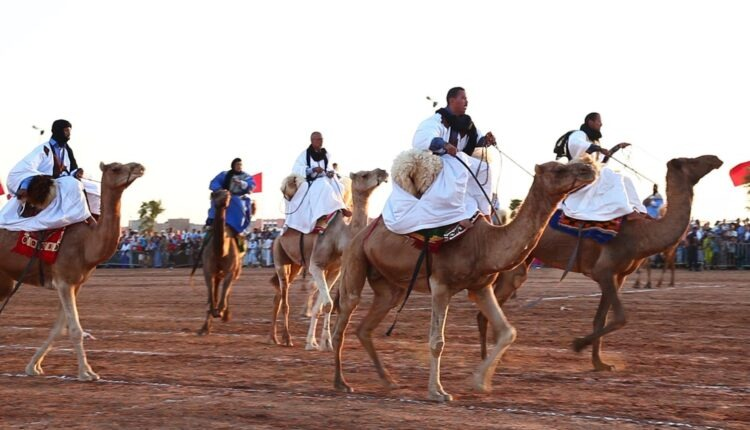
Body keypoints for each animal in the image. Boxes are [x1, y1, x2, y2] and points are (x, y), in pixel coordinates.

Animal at [0, 163, 145, 382]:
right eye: (115, 168)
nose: (139, 167)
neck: (87, 244)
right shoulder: (63, 282)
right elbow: (75, 329)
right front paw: (86, 373)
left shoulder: (75, 284)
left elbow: (59, 329)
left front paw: (33, 367)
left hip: (5, 279)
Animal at [195, 189, 245, 336]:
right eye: (216, 193)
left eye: (227, 193)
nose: (226, 196)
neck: (221, 251)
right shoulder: (208, 271)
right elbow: (211, 298)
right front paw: (205, 326)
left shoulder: (230, 271)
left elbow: (224, 294)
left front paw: (222, 312)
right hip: (217, 274)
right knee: (215, 292)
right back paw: (206, 326)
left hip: (235, 271)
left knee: (227, 291)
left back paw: (225, 314)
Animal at [268, 168, 388, 350]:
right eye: (364, 175)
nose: (384, 172)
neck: (340, 237)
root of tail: (278, 236)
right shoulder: (316, 266)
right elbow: (328, 304)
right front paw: (320, 343)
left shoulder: (334, 270)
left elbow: (322, 306)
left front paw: (320, 342)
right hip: (280, 259)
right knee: (285, 301)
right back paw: (287, 338)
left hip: (295, 265)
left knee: (278, 297)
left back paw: (273, 337)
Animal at [334, 156, 600, 402]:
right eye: (558, 169)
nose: (589, 168)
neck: (485, 243)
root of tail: (361, 234)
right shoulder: (441, 285)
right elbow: (437, 341)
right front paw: (438, 392)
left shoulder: (480, 287)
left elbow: (508, 332)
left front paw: (480, 381)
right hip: (354, 261)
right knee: (344, 318)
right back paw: (342, 383)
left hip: (390, 288)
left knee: (364, 327)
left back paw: (388, 380)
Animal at [478, 156, 724, 372]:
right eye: (691, 161)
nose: (715, 159)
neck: (642, 234)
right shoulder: (604, 270)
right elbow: (621, 317)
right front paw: (578, 345)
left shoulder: (618, 275)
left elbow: (601, 318)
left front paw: (600, 363)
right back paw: (487, 358)